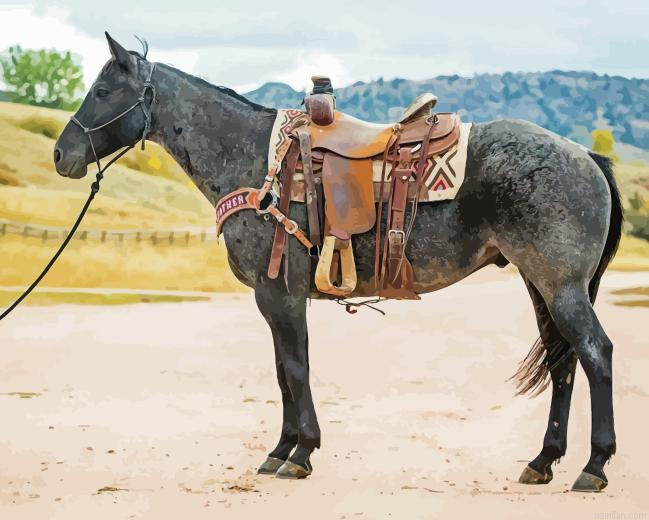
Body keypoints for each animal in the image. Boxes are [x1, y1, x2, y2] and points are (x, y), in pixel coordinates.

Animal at [53, 33, 622, 491]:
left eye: (102, 92)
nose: (62, 155)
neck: (257, 164)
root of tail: (586, 156)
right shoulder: (274, 299)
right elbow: (282, 370)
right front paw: (280, 449)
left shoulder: (279, 294)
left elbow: (296, 368)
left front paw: (301, 452)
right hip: (540, 284)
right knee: (563, 360)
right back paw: (543, 460)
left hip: (561, 286)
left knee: (595, 353)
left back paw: (594, 466)